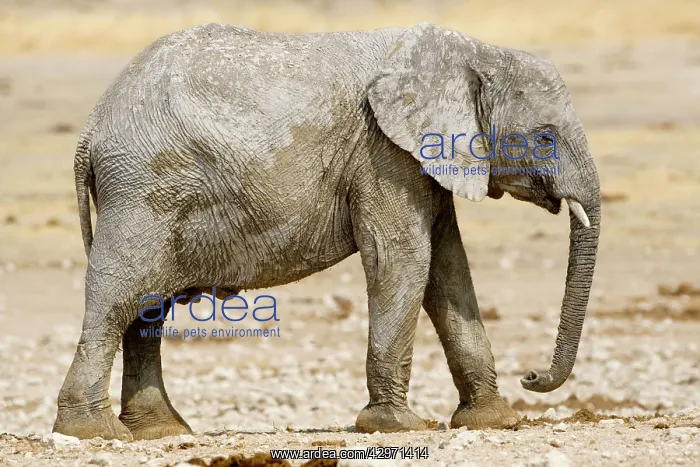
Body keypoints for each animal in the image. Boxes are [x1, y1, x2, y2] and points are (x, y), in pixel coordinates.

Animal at [53, 22, 600, 441]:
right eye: (544, 138)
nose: (531, 374)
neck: (473, 53)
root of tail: (90, 130)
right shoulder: (383, 154)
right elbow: (403, 259)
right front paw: (395, 426)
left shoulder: (425, 162)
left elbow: (448, 269)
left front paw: (494, 422)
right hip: (144, 191)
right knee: (119, 296)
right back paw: (94, 433)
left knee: (147, 307)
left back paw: (160, 432)